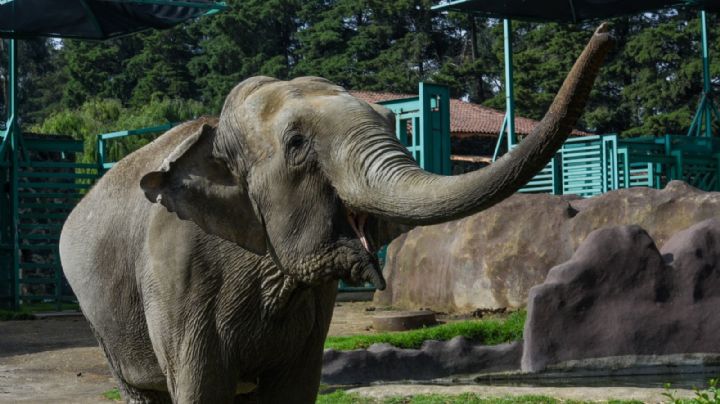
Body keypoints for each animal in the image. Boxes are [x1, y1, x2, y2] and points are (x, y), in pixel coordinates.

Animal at [60, 25, 612, 404]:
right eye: (296, 143)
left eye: (392, 120)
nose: (607, 31)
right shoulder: (178, 277)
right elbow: (201, 389)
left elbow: (294, 390)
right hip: (103, 322)